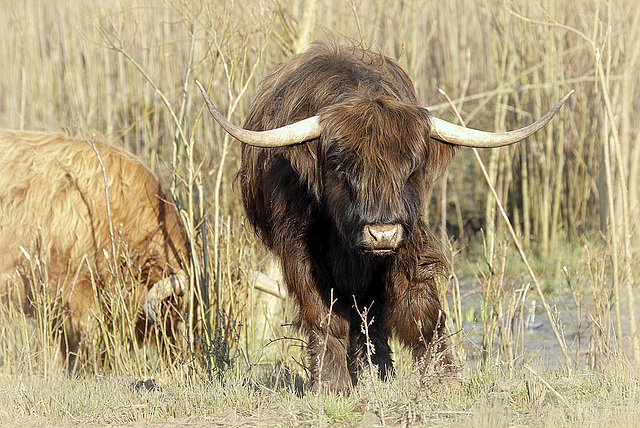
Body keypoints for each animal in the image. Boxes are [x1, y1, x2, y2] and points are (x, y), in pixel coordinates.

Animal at [198, 43, 572, 392]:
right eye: (340, 165)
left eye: (411, 168)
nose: (382, 234)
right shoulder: (300, 252)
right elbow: (325, 315)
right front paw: (331, 385)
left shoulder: (410, 241)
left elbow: (421, 309)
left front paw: (443, 378)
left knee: (372, 317)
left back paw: (379, 372)